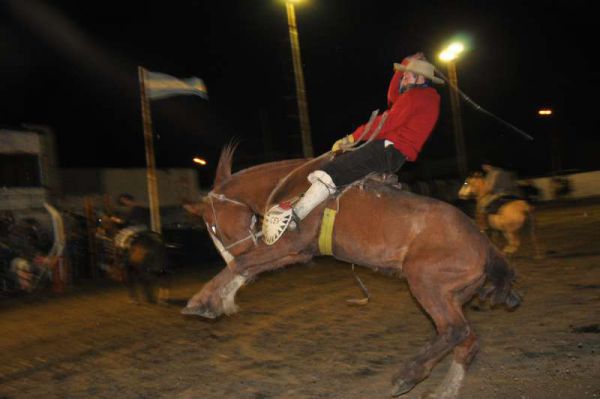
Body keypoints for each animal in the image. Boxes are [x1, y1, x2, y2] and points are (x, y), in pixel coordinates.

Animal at [182, 145, 520, 398]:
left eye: (213, 226)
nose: (233, 248)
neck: (291, 187)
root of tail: (484, 243)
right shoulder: (296, 251)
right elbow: (247, 266)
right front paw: (220, 300)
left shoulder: (290, 243)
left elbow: (242, 264)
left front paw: (200, 302)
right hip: (452, 294)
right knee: (466, 340)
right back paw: (442, 390)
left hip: (425, 282)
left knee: (454, 330)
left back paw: (407, 375)